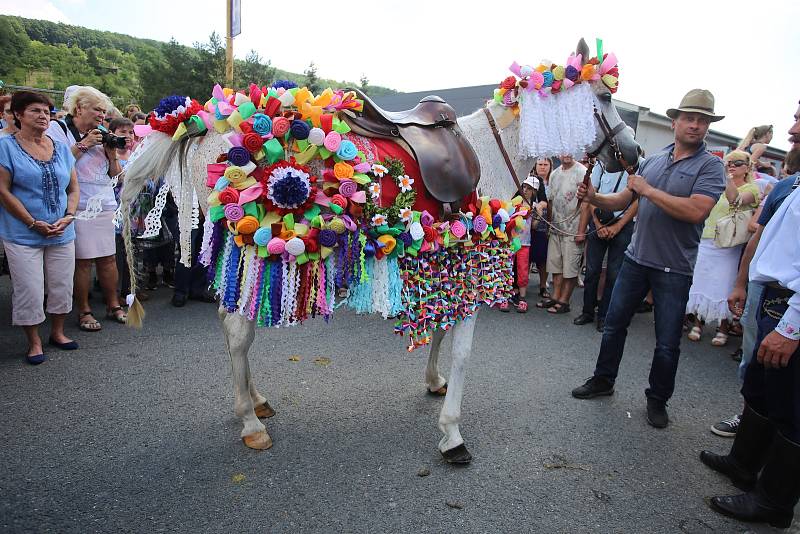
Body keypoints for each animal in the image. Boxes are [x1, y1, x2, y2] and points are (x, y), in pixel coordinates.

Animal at [122, 38, 640, 464]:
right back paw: (249, 421)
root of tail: (205, 123)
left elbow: (440, 332)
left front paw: (434, 384)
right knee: (236, 333)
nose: (632, 153)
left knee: (233, 326)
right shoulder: (471, 261)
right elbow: (463, 352)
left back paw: (255, 401)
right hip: (257, 249)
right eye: (605, 98)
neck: (490, 153)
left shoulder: (446, 257)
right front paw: (453, 436)